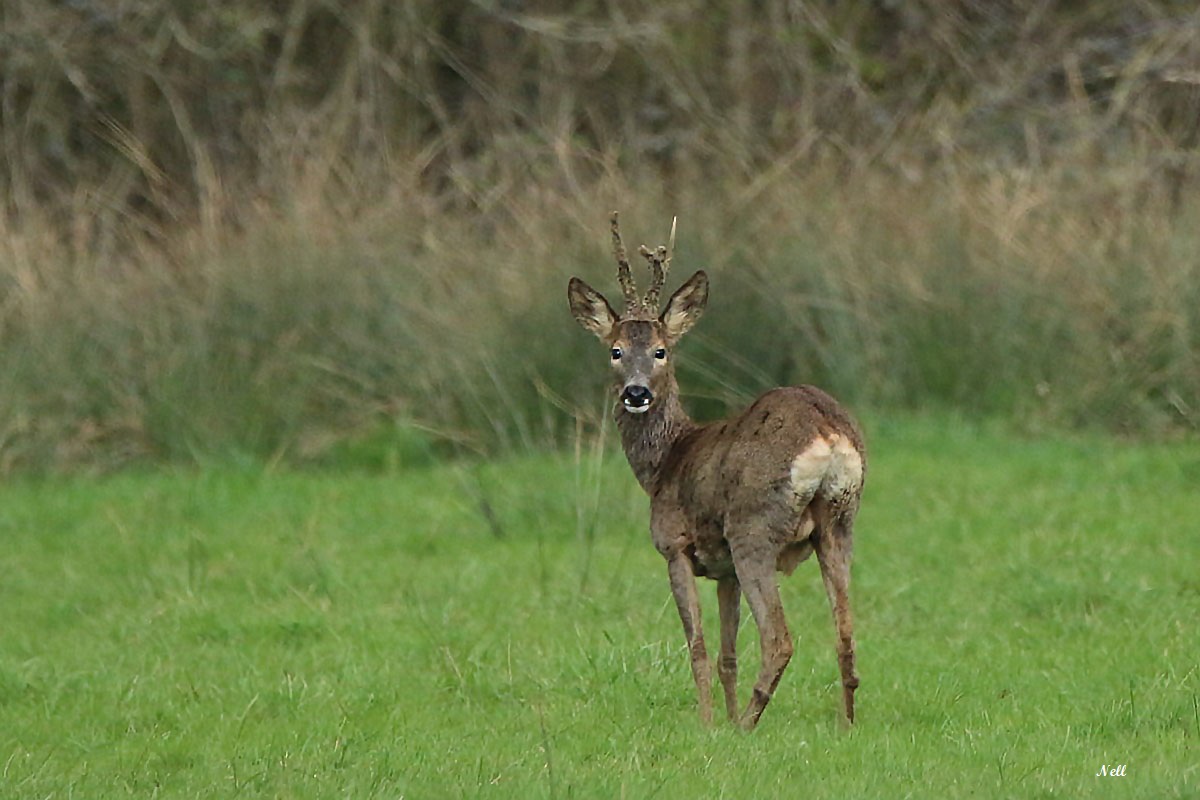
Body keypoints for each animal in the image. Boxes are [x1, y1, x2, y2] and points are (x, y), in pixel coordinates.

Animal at [566, 212, 868, 734]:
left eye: (662, 351)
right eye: (616, 350)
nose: (636, 393)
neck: (666, 461)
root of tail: (826, 432)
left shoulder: (675, 546)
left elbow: (699, 649)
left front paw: (709, 724)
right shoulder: (723, 568)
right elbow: (728, 654)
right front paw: (721, 719)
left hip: (753, 527)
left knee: (780, 639)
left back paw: (748, 724)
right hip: (839, 522)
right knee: (845, 634)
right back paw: (843, 723)